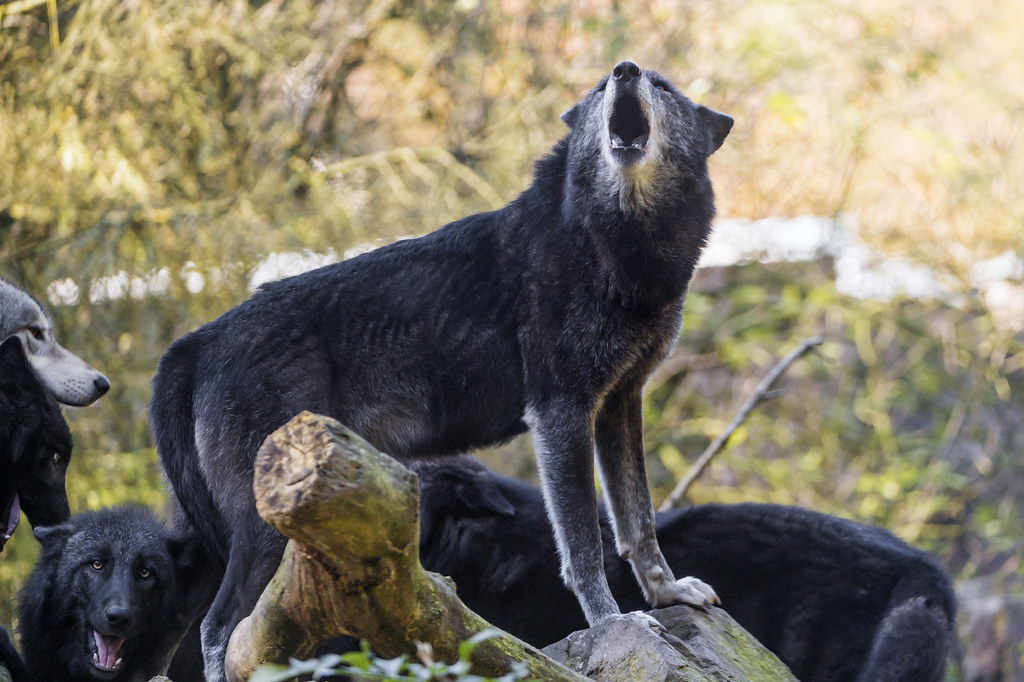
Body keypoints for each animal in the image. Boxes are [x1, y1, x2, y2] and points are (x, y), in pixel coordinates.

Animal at [150, 61, 733, 680]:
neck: (614, 242)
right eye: (600, 88)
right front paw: (611, 624)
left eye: (662, 86)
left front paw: (668, 593)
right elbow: (583, 546)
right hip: (261, 531)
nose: (624, 70)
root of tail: (198, 341)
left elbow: (637, 520)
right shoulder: (561, 413)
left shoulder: (620, 401)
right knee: (219, 627)